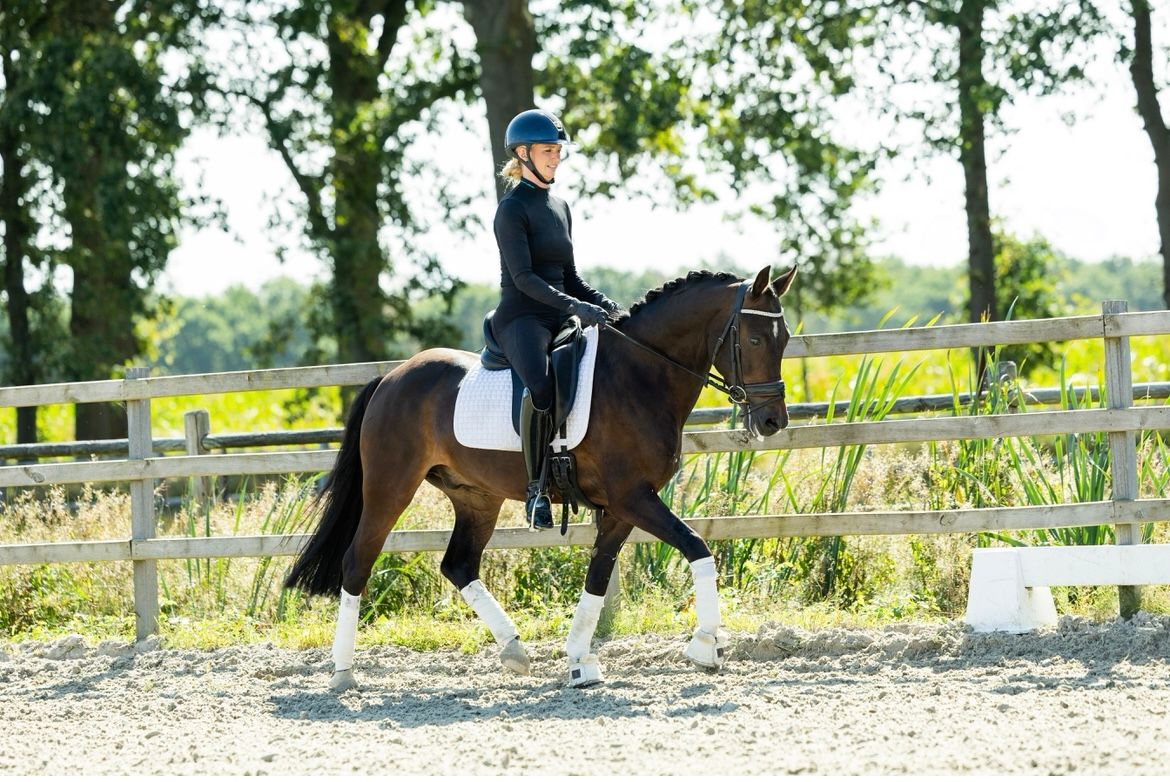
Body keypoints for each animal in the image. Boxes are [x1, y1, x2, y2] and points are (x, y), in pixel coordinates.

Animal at [285, 265, 797, 690]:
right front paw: (705, 645)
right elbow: (697, 547)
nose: (773, 421)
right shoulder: (633, 498)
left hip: (476, 497)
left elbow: (598, 575)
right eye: (754, 340)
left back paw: (514, 650)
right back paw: (343, 674)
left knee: (458, 565)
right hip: (390, 487)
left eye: (786, 337)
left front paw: (580, 663)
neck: (639, 375)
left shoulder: (622, 508)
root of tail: (391, 378)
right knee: (358, 562)